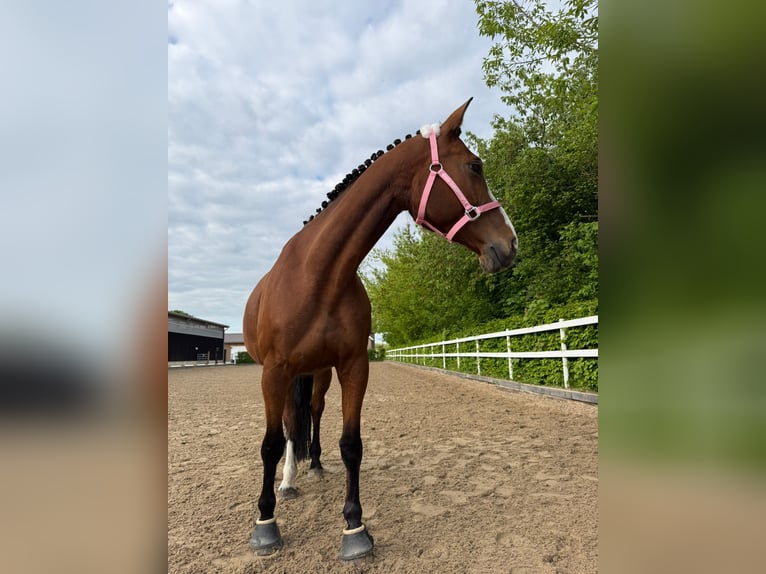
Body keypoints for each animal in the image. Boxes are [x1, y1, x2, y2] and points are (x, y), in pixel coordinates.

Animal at [243, 99, 518, 560]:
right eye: (475, 166)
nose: (510, 244)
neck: (319, 276)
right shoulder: (273, 371)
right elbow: (270, 444)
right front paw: (265, 524)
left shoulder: (354, 366)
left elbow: (351, 445)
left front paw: (354, 529)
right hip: (287, 374)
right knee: (289, 424)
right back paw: (288, 481)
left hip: (318, 372)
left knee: (312, 413)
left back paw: (314, 466)